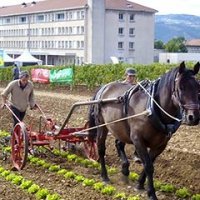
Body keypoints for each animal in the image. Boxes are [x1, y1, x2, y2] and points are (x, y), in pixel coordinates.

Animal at [88, 61, 200, 199]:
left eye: (198, 87)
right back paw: (104, 176)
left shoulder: (161, 144)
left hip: (120, 127)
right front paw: (151, 193)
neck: (151, 107)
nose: (193, 117)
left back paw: (125, 169)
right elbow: (148, 166)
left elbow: (150, 163)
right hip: (102, 126)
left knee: (118, 144)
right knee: (101, 148)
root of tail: (103, 87)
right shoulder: (138, 139)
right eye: (181, 87)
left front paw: (140, 184)